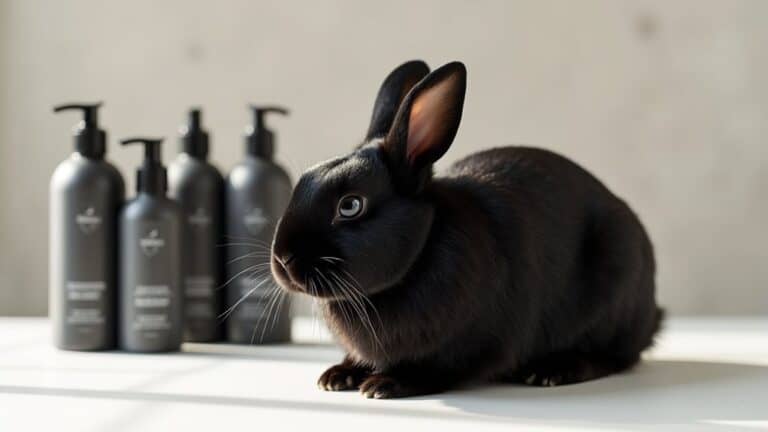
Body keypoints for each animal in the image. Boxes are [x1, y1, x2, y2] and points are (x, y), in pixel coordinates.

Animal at [270, 60, 663, 399]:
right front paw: (338, 375)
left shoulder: (474, 342)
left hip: (613, 291)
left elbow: (440, 368)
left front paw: (387, 383)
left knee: (612, 357)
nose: (283, 259)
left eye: (350, 205)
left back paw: (552, 370)